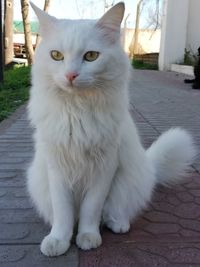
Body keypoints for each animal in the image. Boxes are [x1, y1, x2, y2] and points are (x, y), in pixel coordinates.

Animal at [27, 1, 196, 258]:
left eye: (91, 56)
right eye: (56, 56)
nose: (70, 75)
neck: (78, 112)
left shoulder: (105, 166)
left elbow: (91, 208)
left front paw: (88, 236)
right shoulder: (56, 166)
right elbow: (63, 211)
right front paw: (59, 240)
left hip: (127, 184)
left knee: (113, 211)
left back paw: (118, 224)